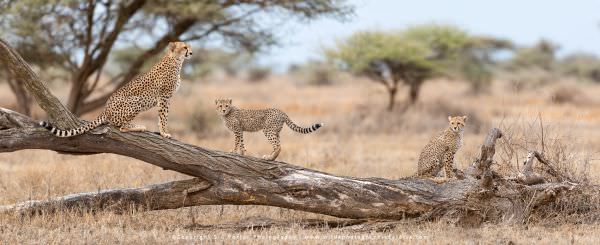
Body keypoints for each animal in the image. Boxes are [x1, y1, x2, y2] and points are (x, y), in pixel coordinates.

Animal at [39, 41, 192, 138]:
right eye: (184, 47)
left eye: (189, 47)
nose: (191, 52)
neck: (176, 60)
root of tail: (105, 109)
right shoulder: (164, 97)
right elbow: (163, 116)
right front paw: (164, 132)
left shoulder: (165, 98)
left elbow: (162, 117)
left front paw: (163, 132)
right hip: (136, 101)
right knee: (121, 126)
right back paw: (138, 126)